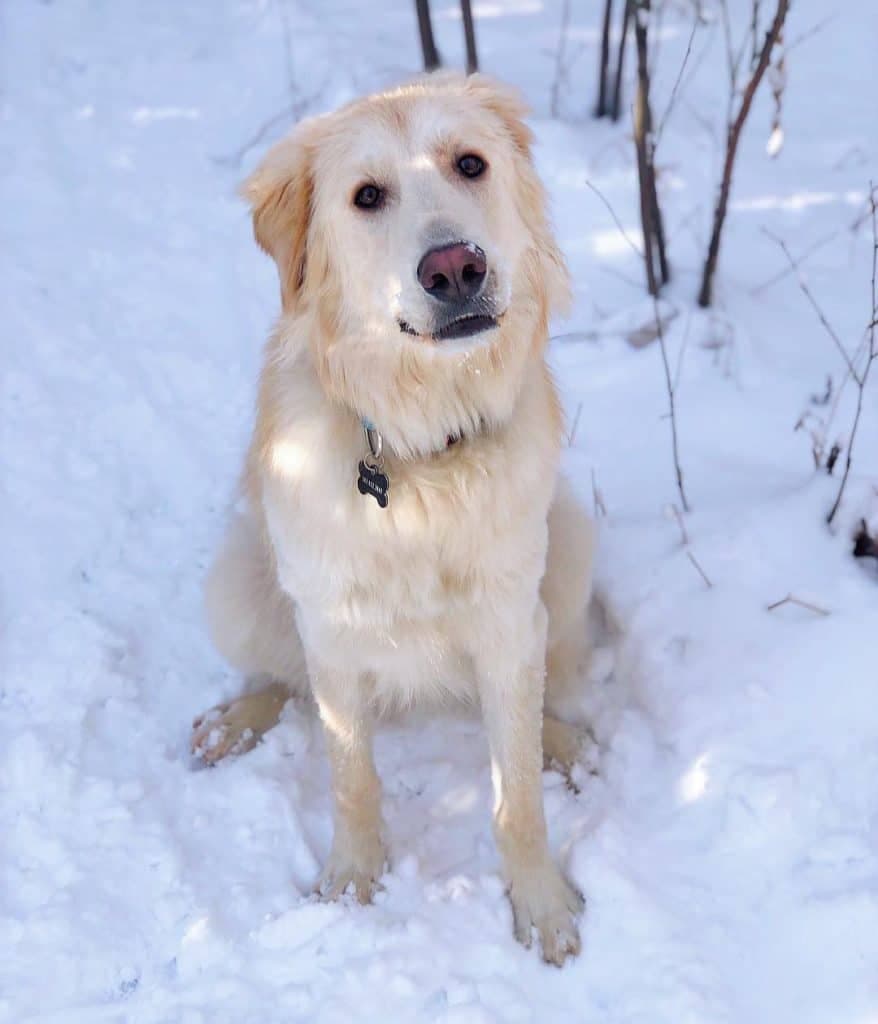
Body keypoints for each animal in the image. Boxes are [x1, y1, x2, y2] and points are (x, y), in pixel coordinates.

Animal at [193, 75, 594, 962]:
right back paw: (234, 721)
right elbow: (352, 778)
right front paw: (351, 880)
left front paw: (541, 904)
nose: (455, 268)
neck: (421, 450)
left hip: (570, 553)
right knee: (281, 678)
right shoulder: (333, 631)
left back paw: (563, 738)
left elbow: (518, 796)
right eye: (367, 196)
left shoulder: (508, 622)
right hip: (235, 582)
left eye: (470, 164)